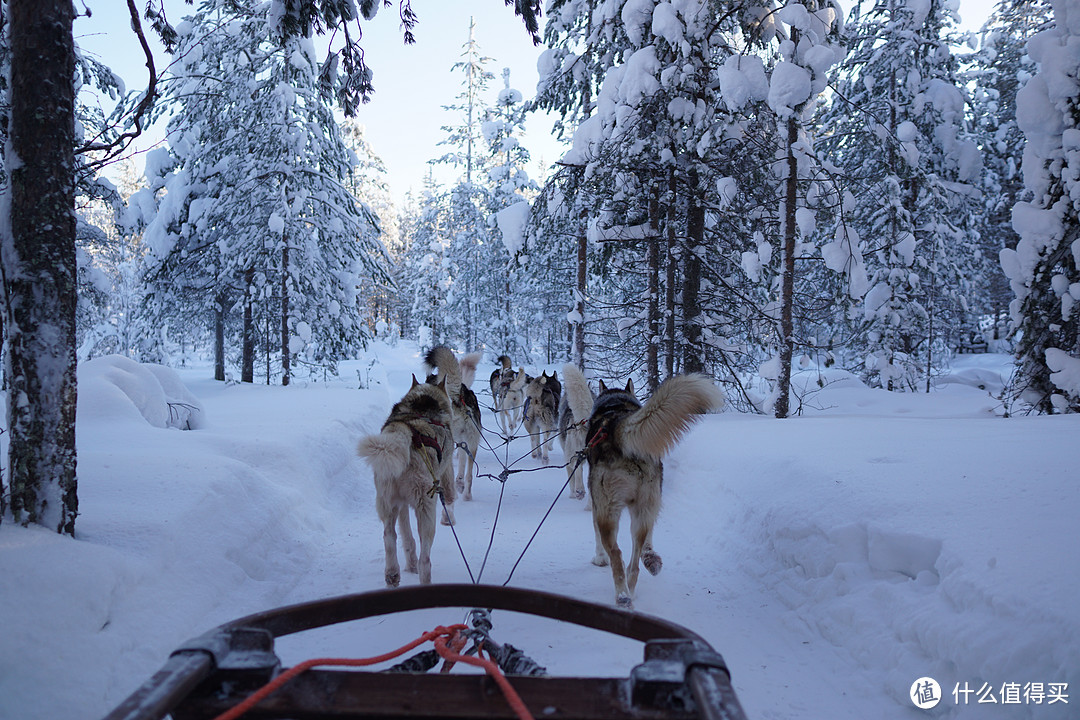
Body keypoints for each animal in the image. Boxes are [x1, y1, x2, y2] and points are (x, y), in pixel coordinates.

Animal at [356, 375, 453, 587]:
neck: (420, 411)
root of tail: (405, 431)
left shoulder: (400, 505)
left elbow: (407, 538)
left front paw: (409, 564)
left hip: (387, 502)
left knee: (389, 536)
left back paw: (393, 573)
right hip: (426, 506)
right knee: (425, 557)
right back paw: (424, 578)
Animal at [587, 371, 721, 608]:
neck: (614, 405)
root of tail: (617, 428)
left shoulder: (597, 506)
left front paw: (598, 558)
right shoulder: (650, 509)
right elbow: (649, 540)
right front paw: (651, 557)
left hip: (608, 513)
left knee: (617, 555)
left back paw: (622, 596)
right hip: (644, 507)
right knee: (634, 564)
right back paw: (632, 588)